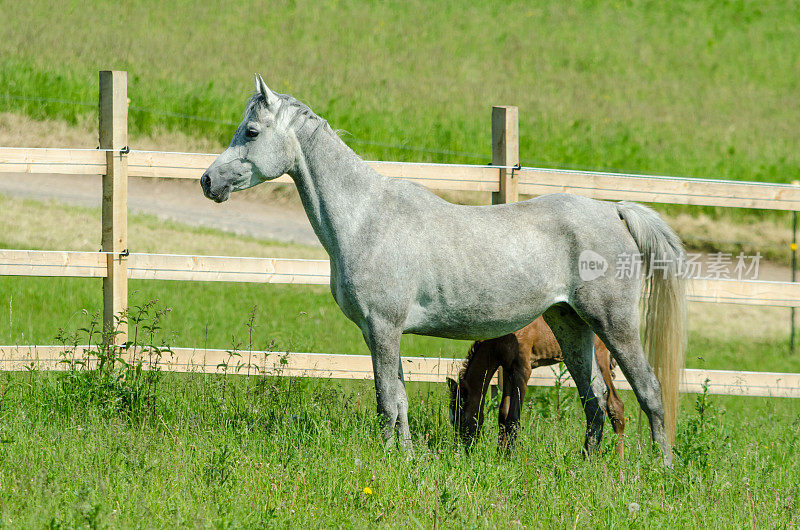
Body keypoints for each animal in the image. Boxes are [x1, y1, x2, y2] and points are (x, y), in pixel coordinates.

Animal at [450, 316, 624, 456]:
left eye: (461, 418)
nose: (461, 450)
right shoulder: (508, 370)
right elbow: (503, 414)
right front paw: (499, 454)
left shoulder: (523, 369)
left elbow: (513, 417)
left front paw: (508, 458)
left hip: (600, 359)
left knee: (615, 405)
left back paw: (619, 459)